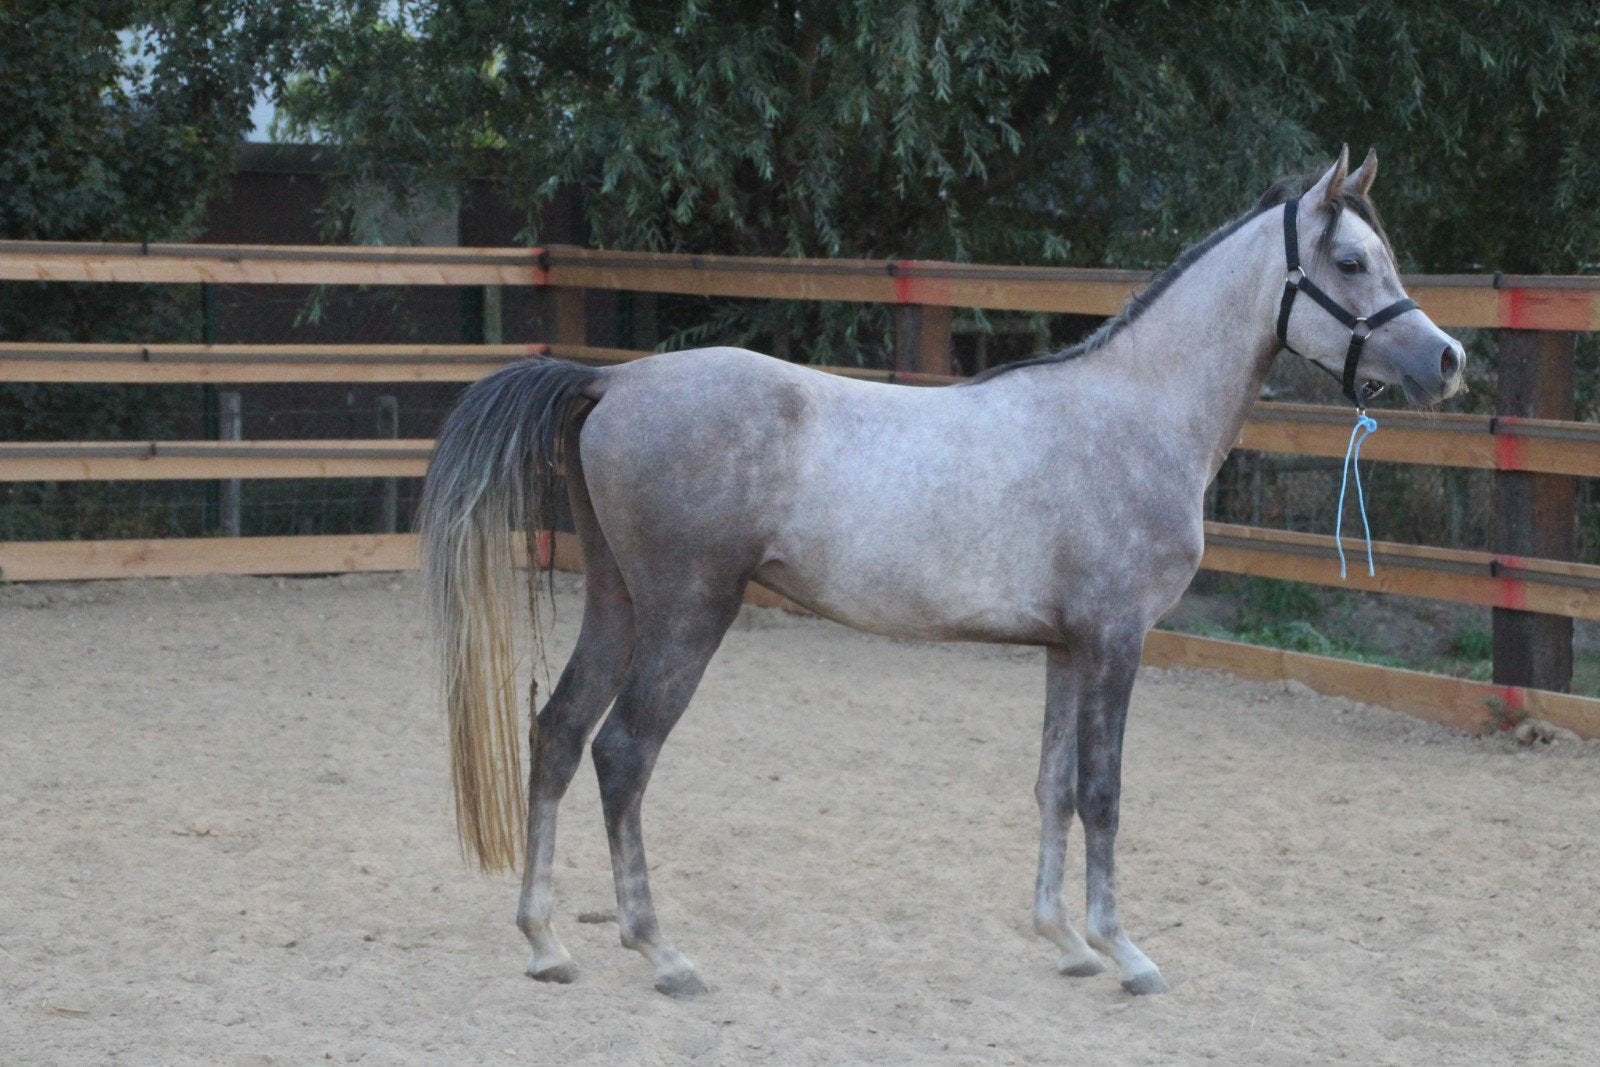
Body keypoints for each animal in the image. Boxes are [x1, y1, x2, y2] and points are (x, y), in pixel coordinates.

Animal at [418, 147, 1465, 997]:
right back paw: (661, 951)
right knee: (623, 754)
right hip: (686, 613)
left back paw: (547, 941)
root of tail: (614, 380)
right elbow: (1103, 792)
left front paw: (1065, 943)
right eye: (1350, 262)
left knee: (556, 733)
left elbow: (1052, 785)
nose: (1448, 360)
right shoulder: (1116, 640)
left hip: (618, 602)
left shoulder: (1066, 647)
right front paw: (1125, 953)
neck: (1135, 413)